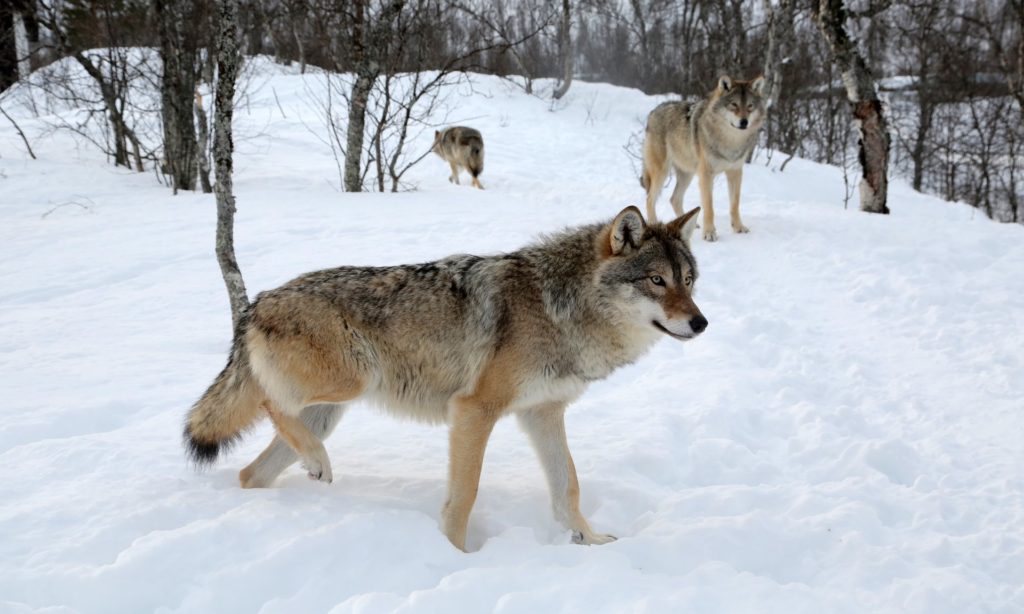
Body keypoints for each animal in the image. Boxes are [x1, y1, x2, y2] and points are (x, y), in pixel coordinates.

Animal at [184, 206, 708, 552]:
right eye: (656, 281)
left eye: (688, 280)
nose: (701, 323)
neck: (559, 308)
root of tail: (256, 303)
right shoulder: (475, 410)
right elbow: (465, 495)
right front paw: (456, 555)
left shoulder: (544, 413)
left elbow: (568, 486)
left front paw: (590, 538)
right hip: (354, 380)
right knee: (272, 404)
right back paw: (315, 463)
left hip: (329, 412)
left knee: (251, 471)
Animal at [638, 74, 770, 239]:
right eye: (734, 105)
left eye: (750, 106)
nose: (744, 122)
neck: (730, 141)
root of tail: (653, 112)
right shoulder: (706, 174)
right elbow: (709, 207)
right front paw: (709, 233)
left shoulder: (735, 172)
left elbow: (734, 205)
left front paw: (739, 227)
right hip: (662, 173)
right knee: (650, 199)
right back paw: (655, 226)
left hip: (687, 174)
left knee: (674, 199)